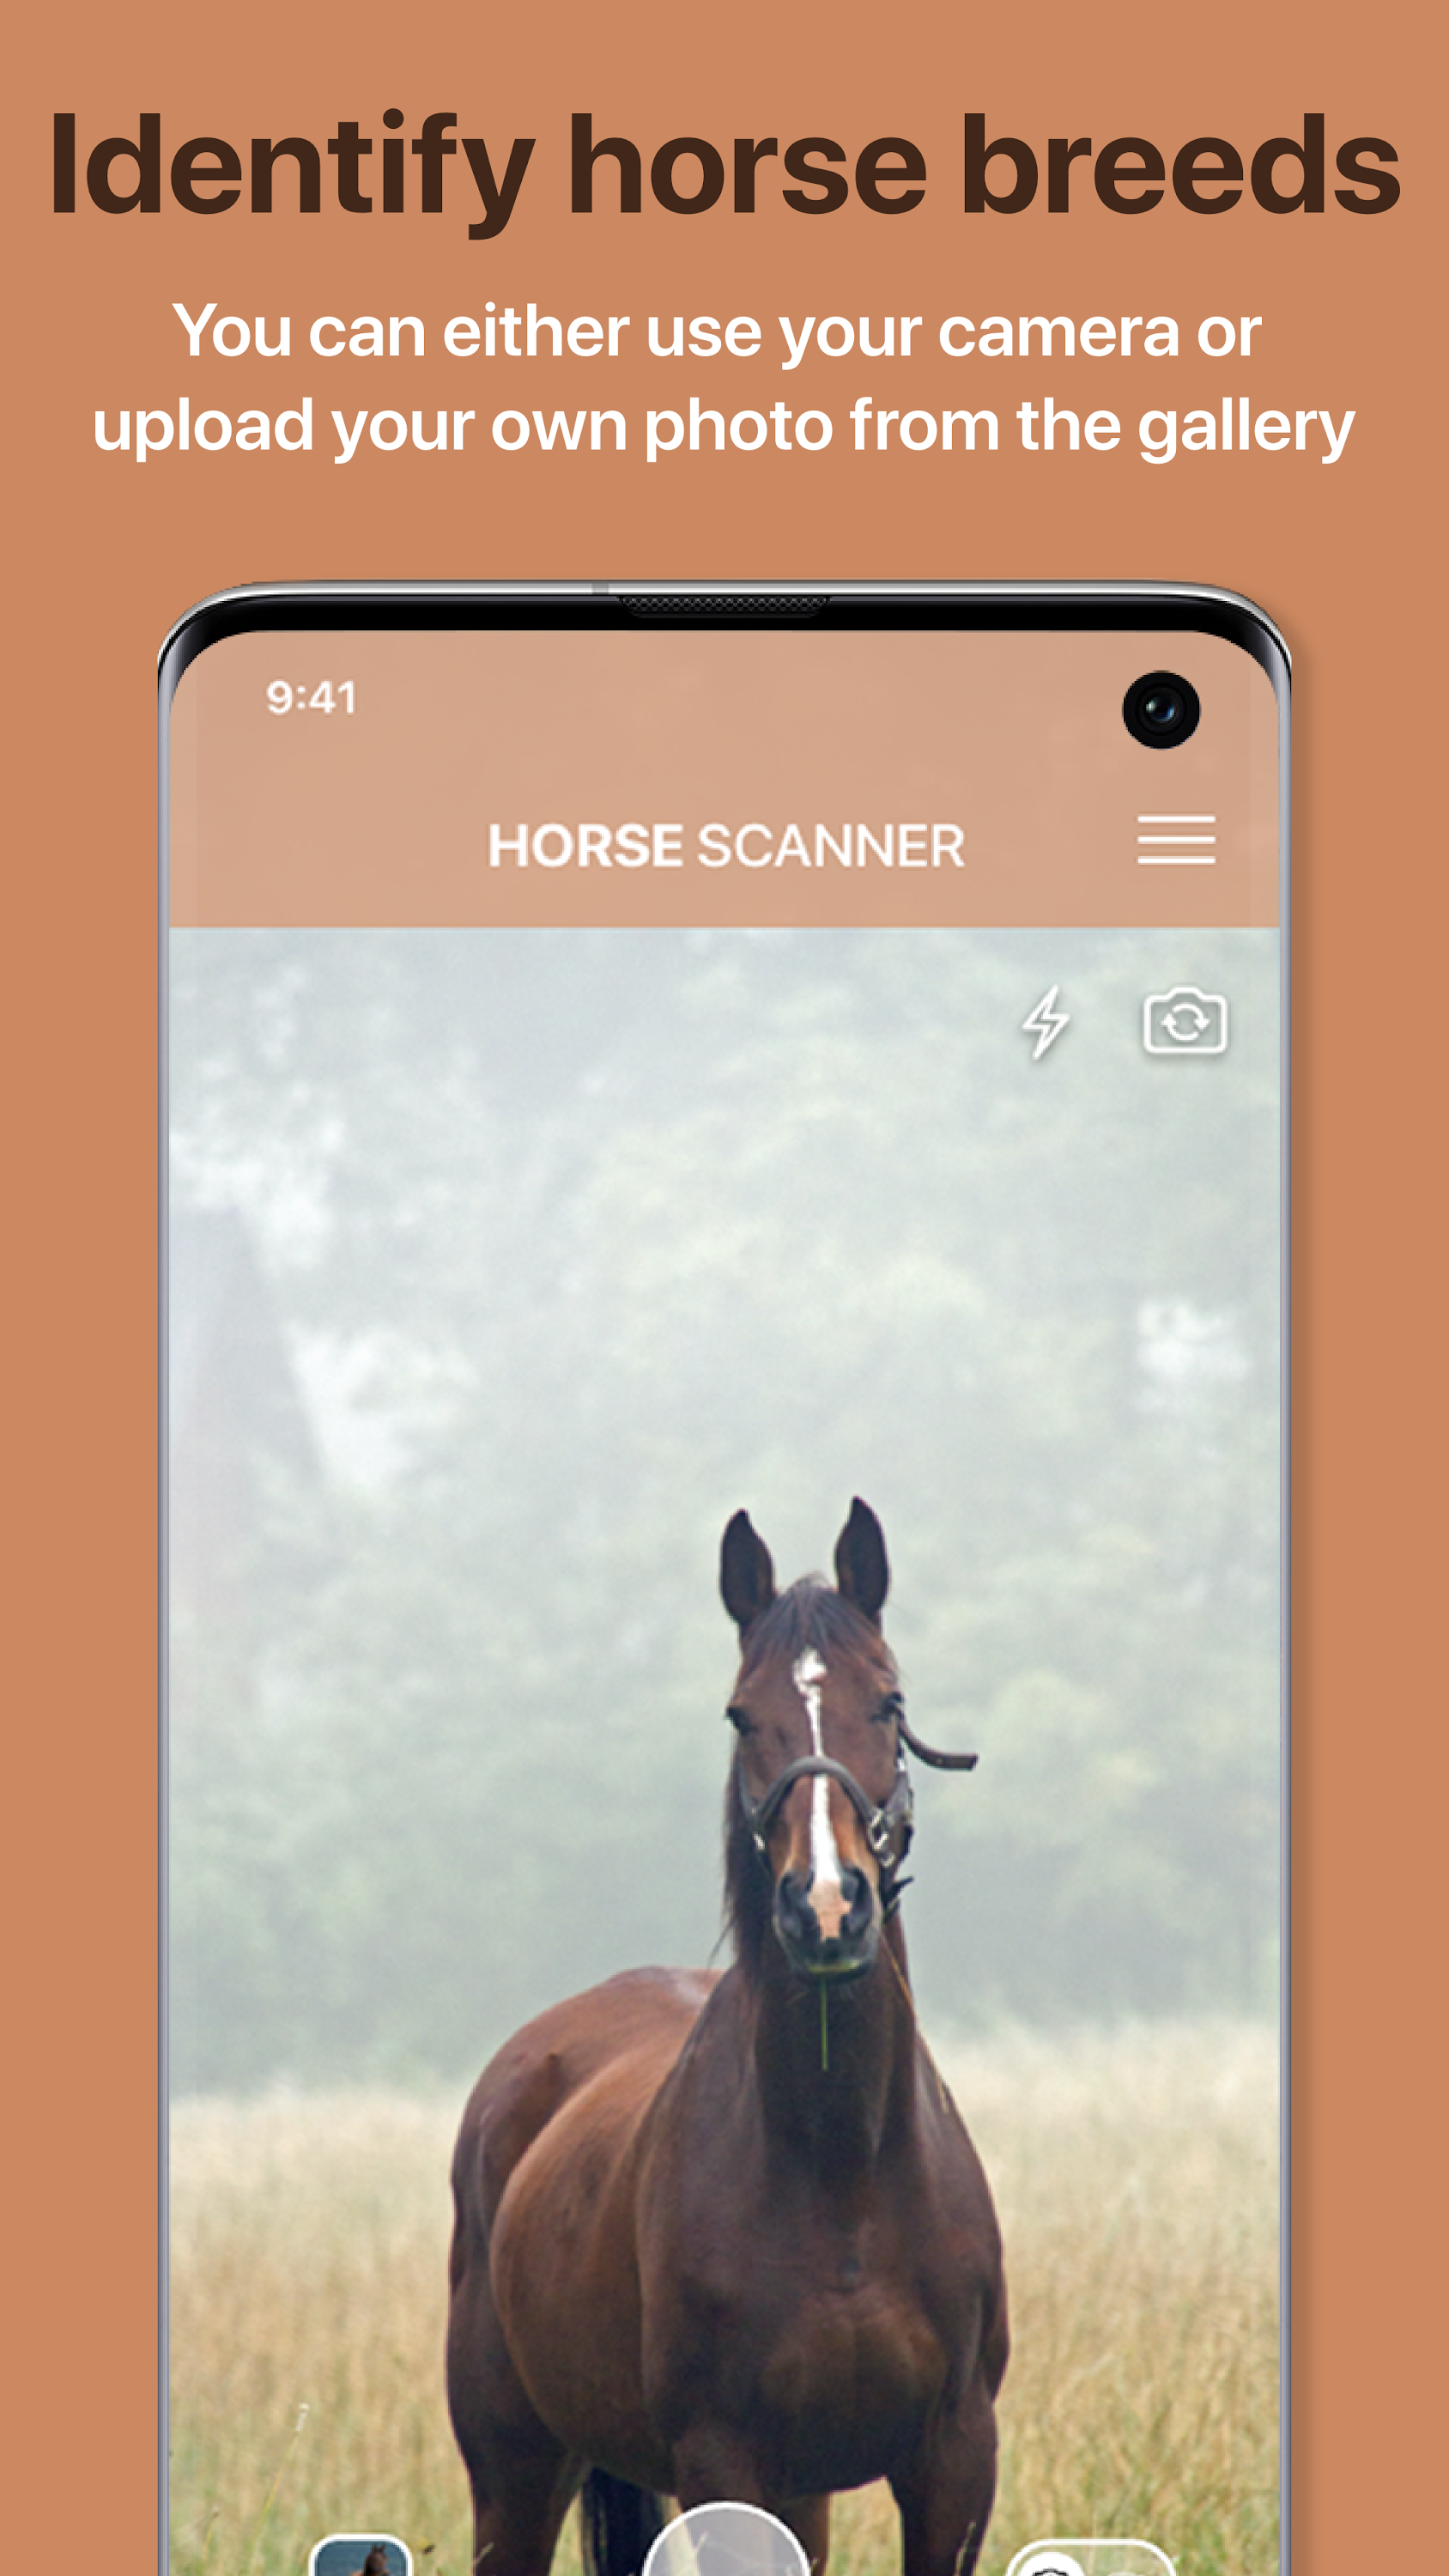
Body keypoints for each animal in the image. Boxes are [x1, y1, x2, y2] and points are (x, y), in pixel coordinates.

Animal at [446, 1501, 1007, 2576]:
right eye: (741, 1716)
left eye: (888, 1701)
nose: (826, 1909)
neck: (840, 2171)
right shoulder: (723, 2463)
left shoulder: (953, 2461)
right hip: (515, 2474)